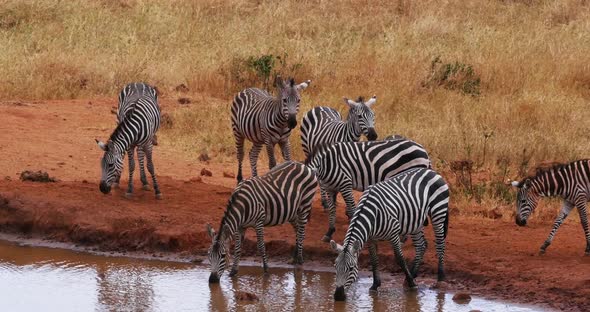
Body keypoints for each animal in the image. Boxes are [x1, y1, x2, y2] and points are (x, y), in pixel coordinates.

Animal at [330, 167, 450, 302]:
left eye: (351, 268)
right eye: (335, 266)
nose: (338, 296)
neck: (372, 214)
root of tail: (431, 171)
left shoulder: (394, 233)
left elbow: (400, 258)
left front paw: (412, 284)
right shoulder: (371, 238)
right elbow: (374, 260)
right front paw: (375, 285)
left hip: (438, 212)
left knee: (440, 244)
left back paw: (440, 277)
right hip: (416, 221)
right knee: (421, 245)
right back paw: (411, 275)